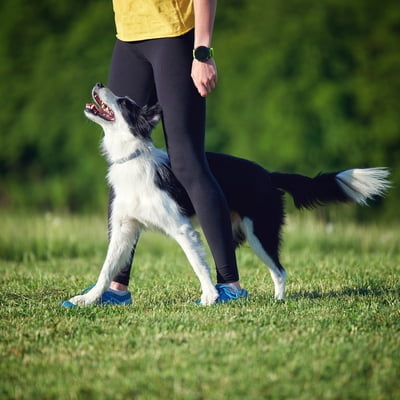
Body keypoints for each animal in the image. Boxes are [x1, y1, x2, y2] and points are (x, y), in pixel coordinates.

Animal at [67, 82, 390, 306]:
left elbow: (198, 264)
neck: (133, 157)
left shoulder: (182, 228)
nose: (99, 83)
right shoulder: (125, 229)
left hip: (260, 232)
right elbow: (107, 268)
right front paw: (89, 299)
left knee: (280, 270)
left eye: (123, 103)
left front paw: (209, 297)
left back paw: (277, 301)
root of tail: (268, 174)